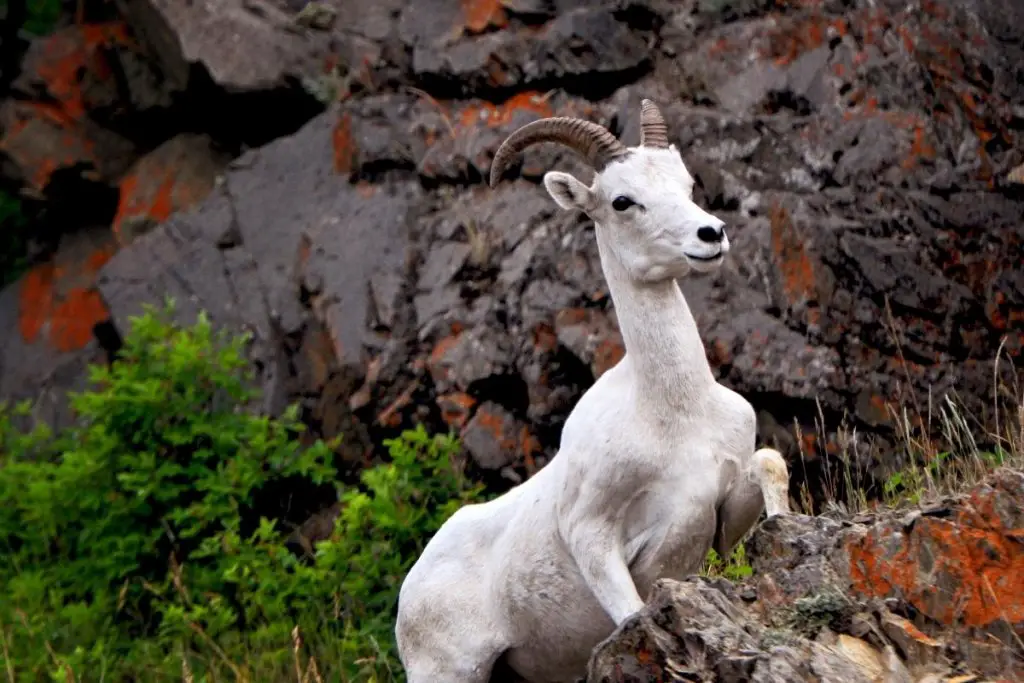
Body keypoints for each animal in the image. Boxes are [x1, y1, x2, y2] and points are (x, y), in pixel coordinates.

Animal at [393, 100, 790, 683]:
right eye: (622, 201)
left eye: (686, 184)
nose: (710, 235)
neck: (673, 412)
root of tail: (408, 597)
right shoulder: (593, 540)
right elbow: (630, 614)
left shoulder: (719, 514)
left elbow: (768, 463)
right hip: (450, 675)